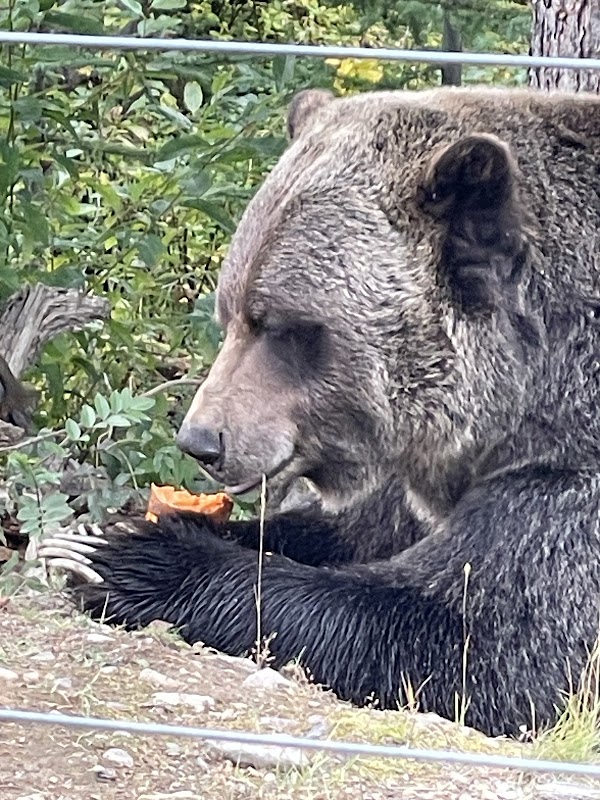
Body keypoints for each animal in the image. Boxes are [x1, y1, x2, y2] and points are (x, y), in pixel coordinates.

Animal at [40, 86, 600, 738]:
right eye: (229, 313)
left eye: (285, 326)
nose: (202, 441)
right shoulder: (402, 484)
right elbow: (334, 531)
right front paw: (110, 531)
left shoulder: (567, 487)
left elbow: (483, 638)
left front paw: (133, 560)